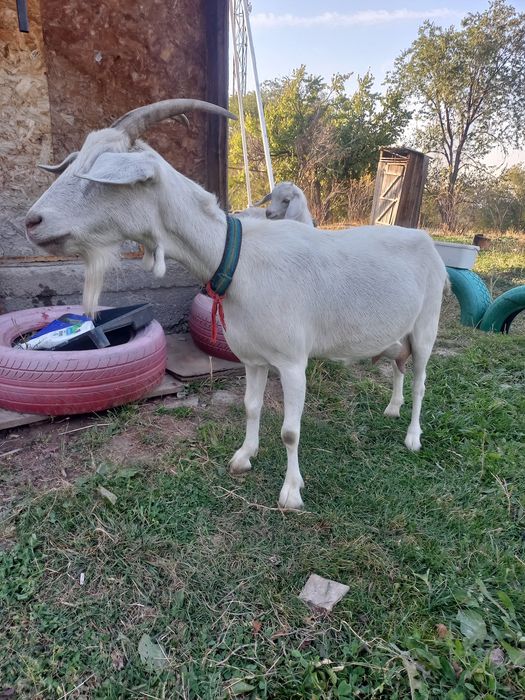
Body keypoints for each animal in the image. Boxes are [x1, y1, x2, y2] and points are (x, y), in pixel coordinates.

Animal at [26, 98, 448, 509]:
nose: (32, 222)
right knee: (399, 364)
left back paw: (413, 436)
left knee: (423, 380)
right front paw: (244, 456)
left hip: (427, 324)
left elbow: (291, 431)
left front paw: (291, 492)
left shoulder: (293, 361)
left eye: (99, 175)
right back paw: (392, 408)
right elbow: (250, 406)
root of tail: (427, 240)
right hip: (398, 333)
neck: (239, 258)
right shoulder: (252, 357)